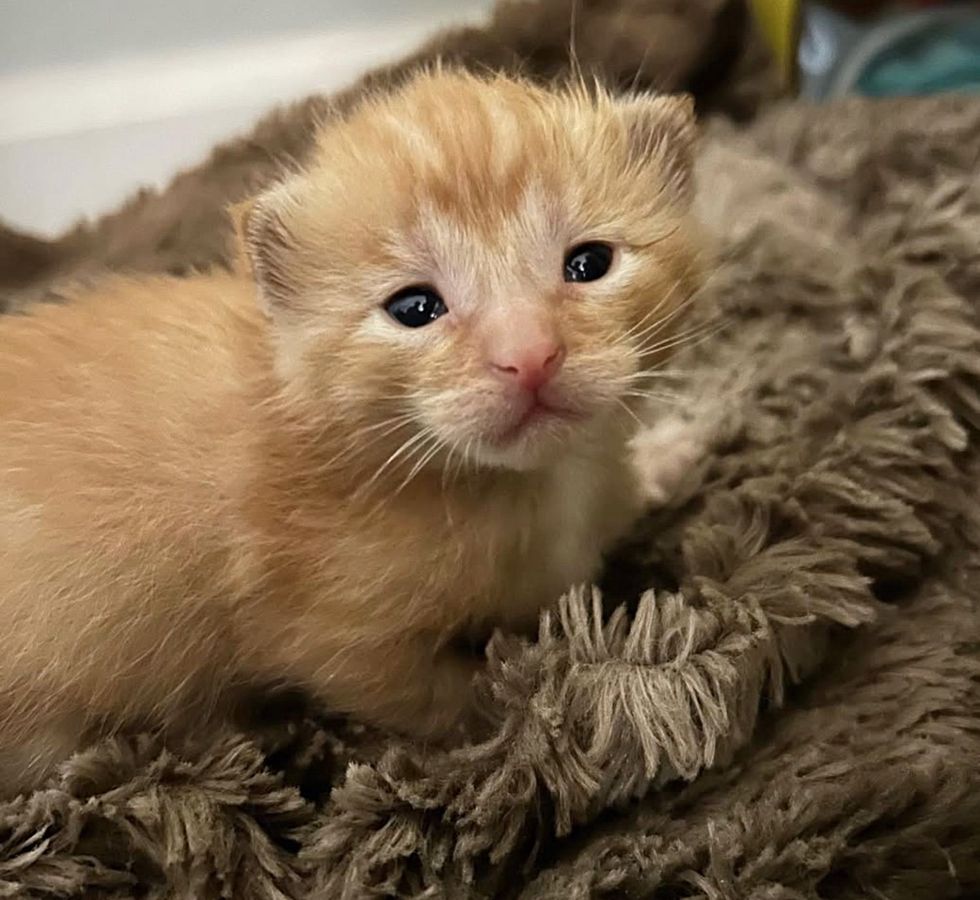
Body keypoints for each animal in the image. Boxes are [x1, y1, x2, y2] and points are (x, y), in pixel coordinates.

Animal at [0, 72, 704, 796]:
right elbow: (441, 692)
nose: (529, 356)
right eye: (415, 308)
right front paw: (525, 713)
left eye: (589, 263)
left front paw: (666, 455)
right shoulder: (330, 634)